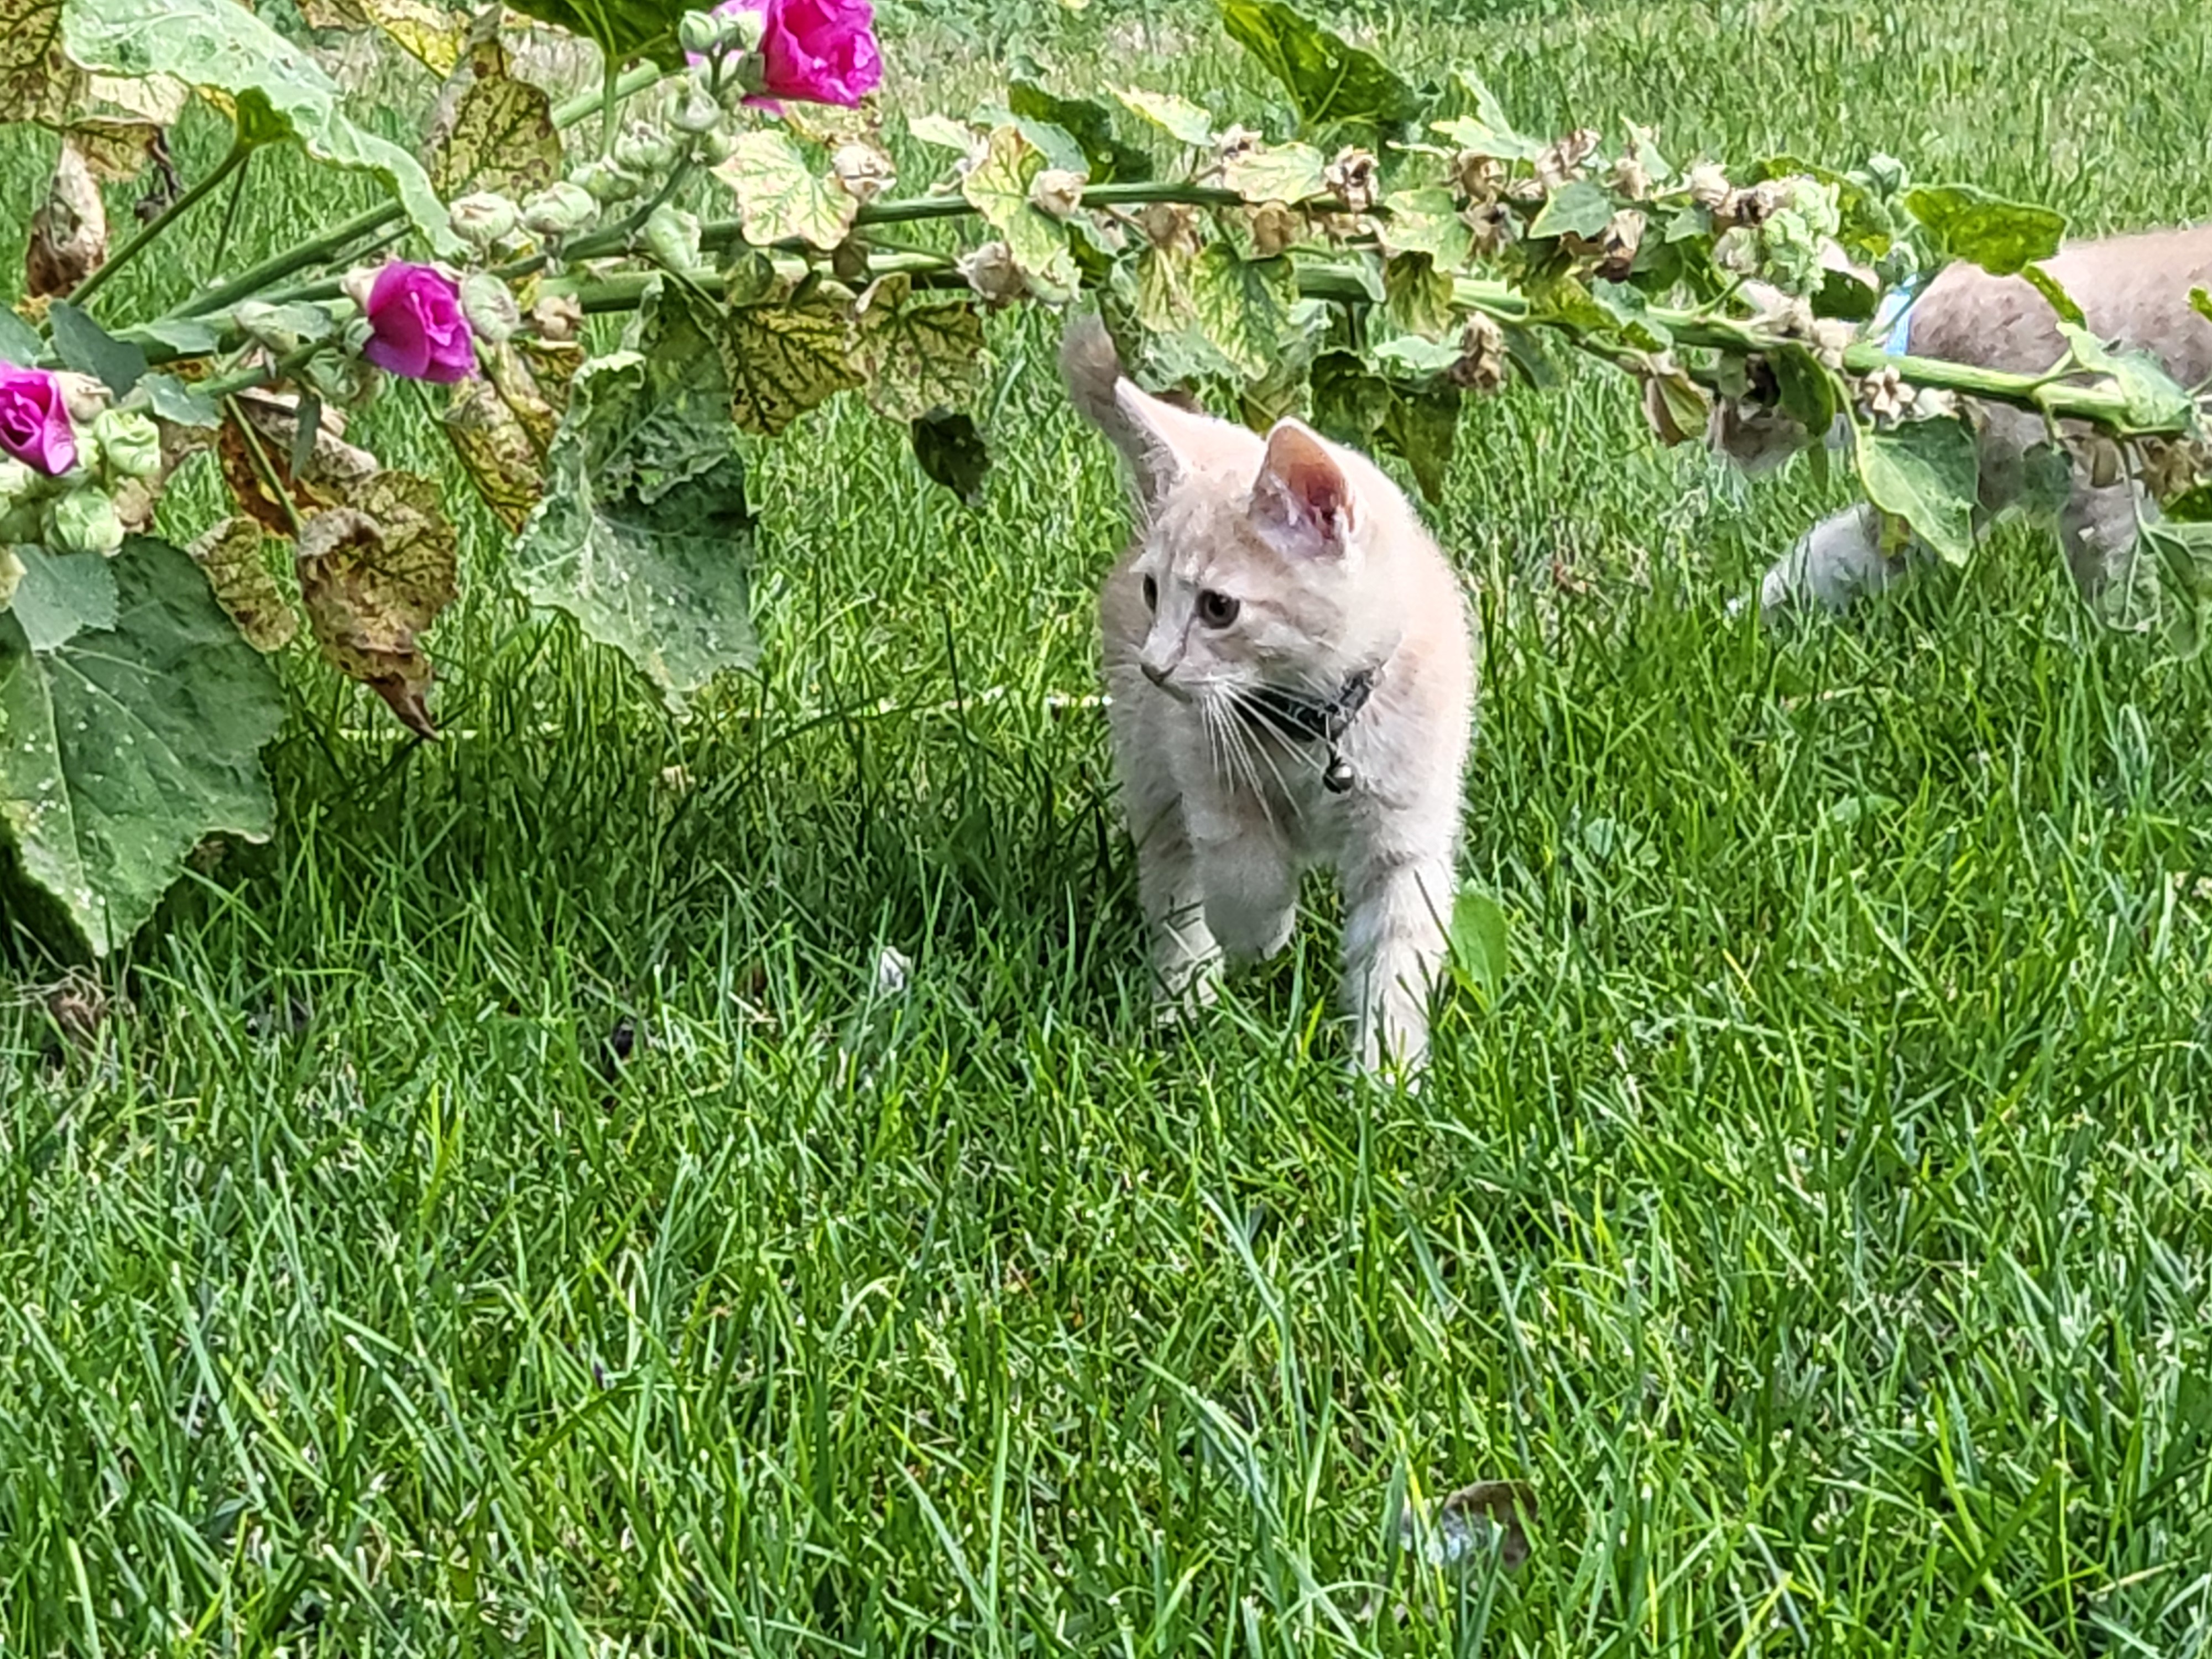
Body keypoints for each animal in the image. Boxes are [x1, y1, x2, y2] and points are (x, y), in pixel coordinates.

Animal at [1062, 321, 1478, 1084]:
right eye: (1153, 592)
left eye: (1219, 608)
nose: (1156, 666)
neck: (1315, 724)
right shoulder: (1207, 780)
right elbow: (1242, 870)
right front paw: (1258, 938)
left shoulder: (1407, 837)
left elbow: (1397, 955)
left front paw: (1387, 1078)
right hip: (1149, 767)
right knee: (1174, 883)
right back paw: (1182, 1004)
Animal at [1708, 225, 2212, 619]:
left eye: (1745, 395)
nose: (1714, 442)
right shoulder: (1939, 500)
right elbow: (1824, 560)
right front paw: (1739, 619)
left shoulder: (2101, 488)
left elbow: (2113, 576)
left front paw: (2114, 649)